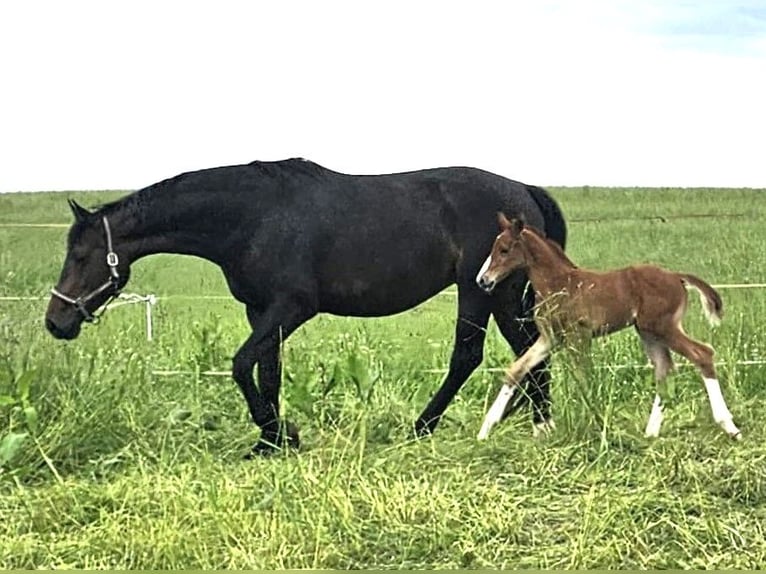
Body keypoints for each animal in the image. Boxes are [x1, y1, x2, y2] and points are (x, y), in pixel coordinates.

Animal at [44, 158, 568, 455]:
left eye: (82, 255)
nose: (56, 321)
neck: (252, 217)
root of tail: (522, 190)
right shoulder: (260, 312)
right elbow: (267, 372)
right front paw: (269, 442)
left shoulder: (292, 306)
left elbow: (240, 365)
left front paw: (281, 433)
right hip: (501, 292)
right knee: (527, 348)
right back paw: (538, 421)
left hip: (478, 290)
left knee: (468, 355)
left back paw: (425, 426)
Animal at [475, 212, 741, 441]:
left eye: (504, 249)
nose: (483, 280)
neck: (560, 283)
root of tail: (677, 276)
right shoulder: (550, 339)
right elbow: (516, 370)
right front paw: (485, 429)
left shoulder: (578, 335)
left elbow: (585, 377)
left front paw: (594, 423)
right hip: (648, 332)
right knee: (664, 368)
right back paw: (651, 432)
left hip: (664, 327)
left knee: (702, 354)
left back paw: (729, 426)